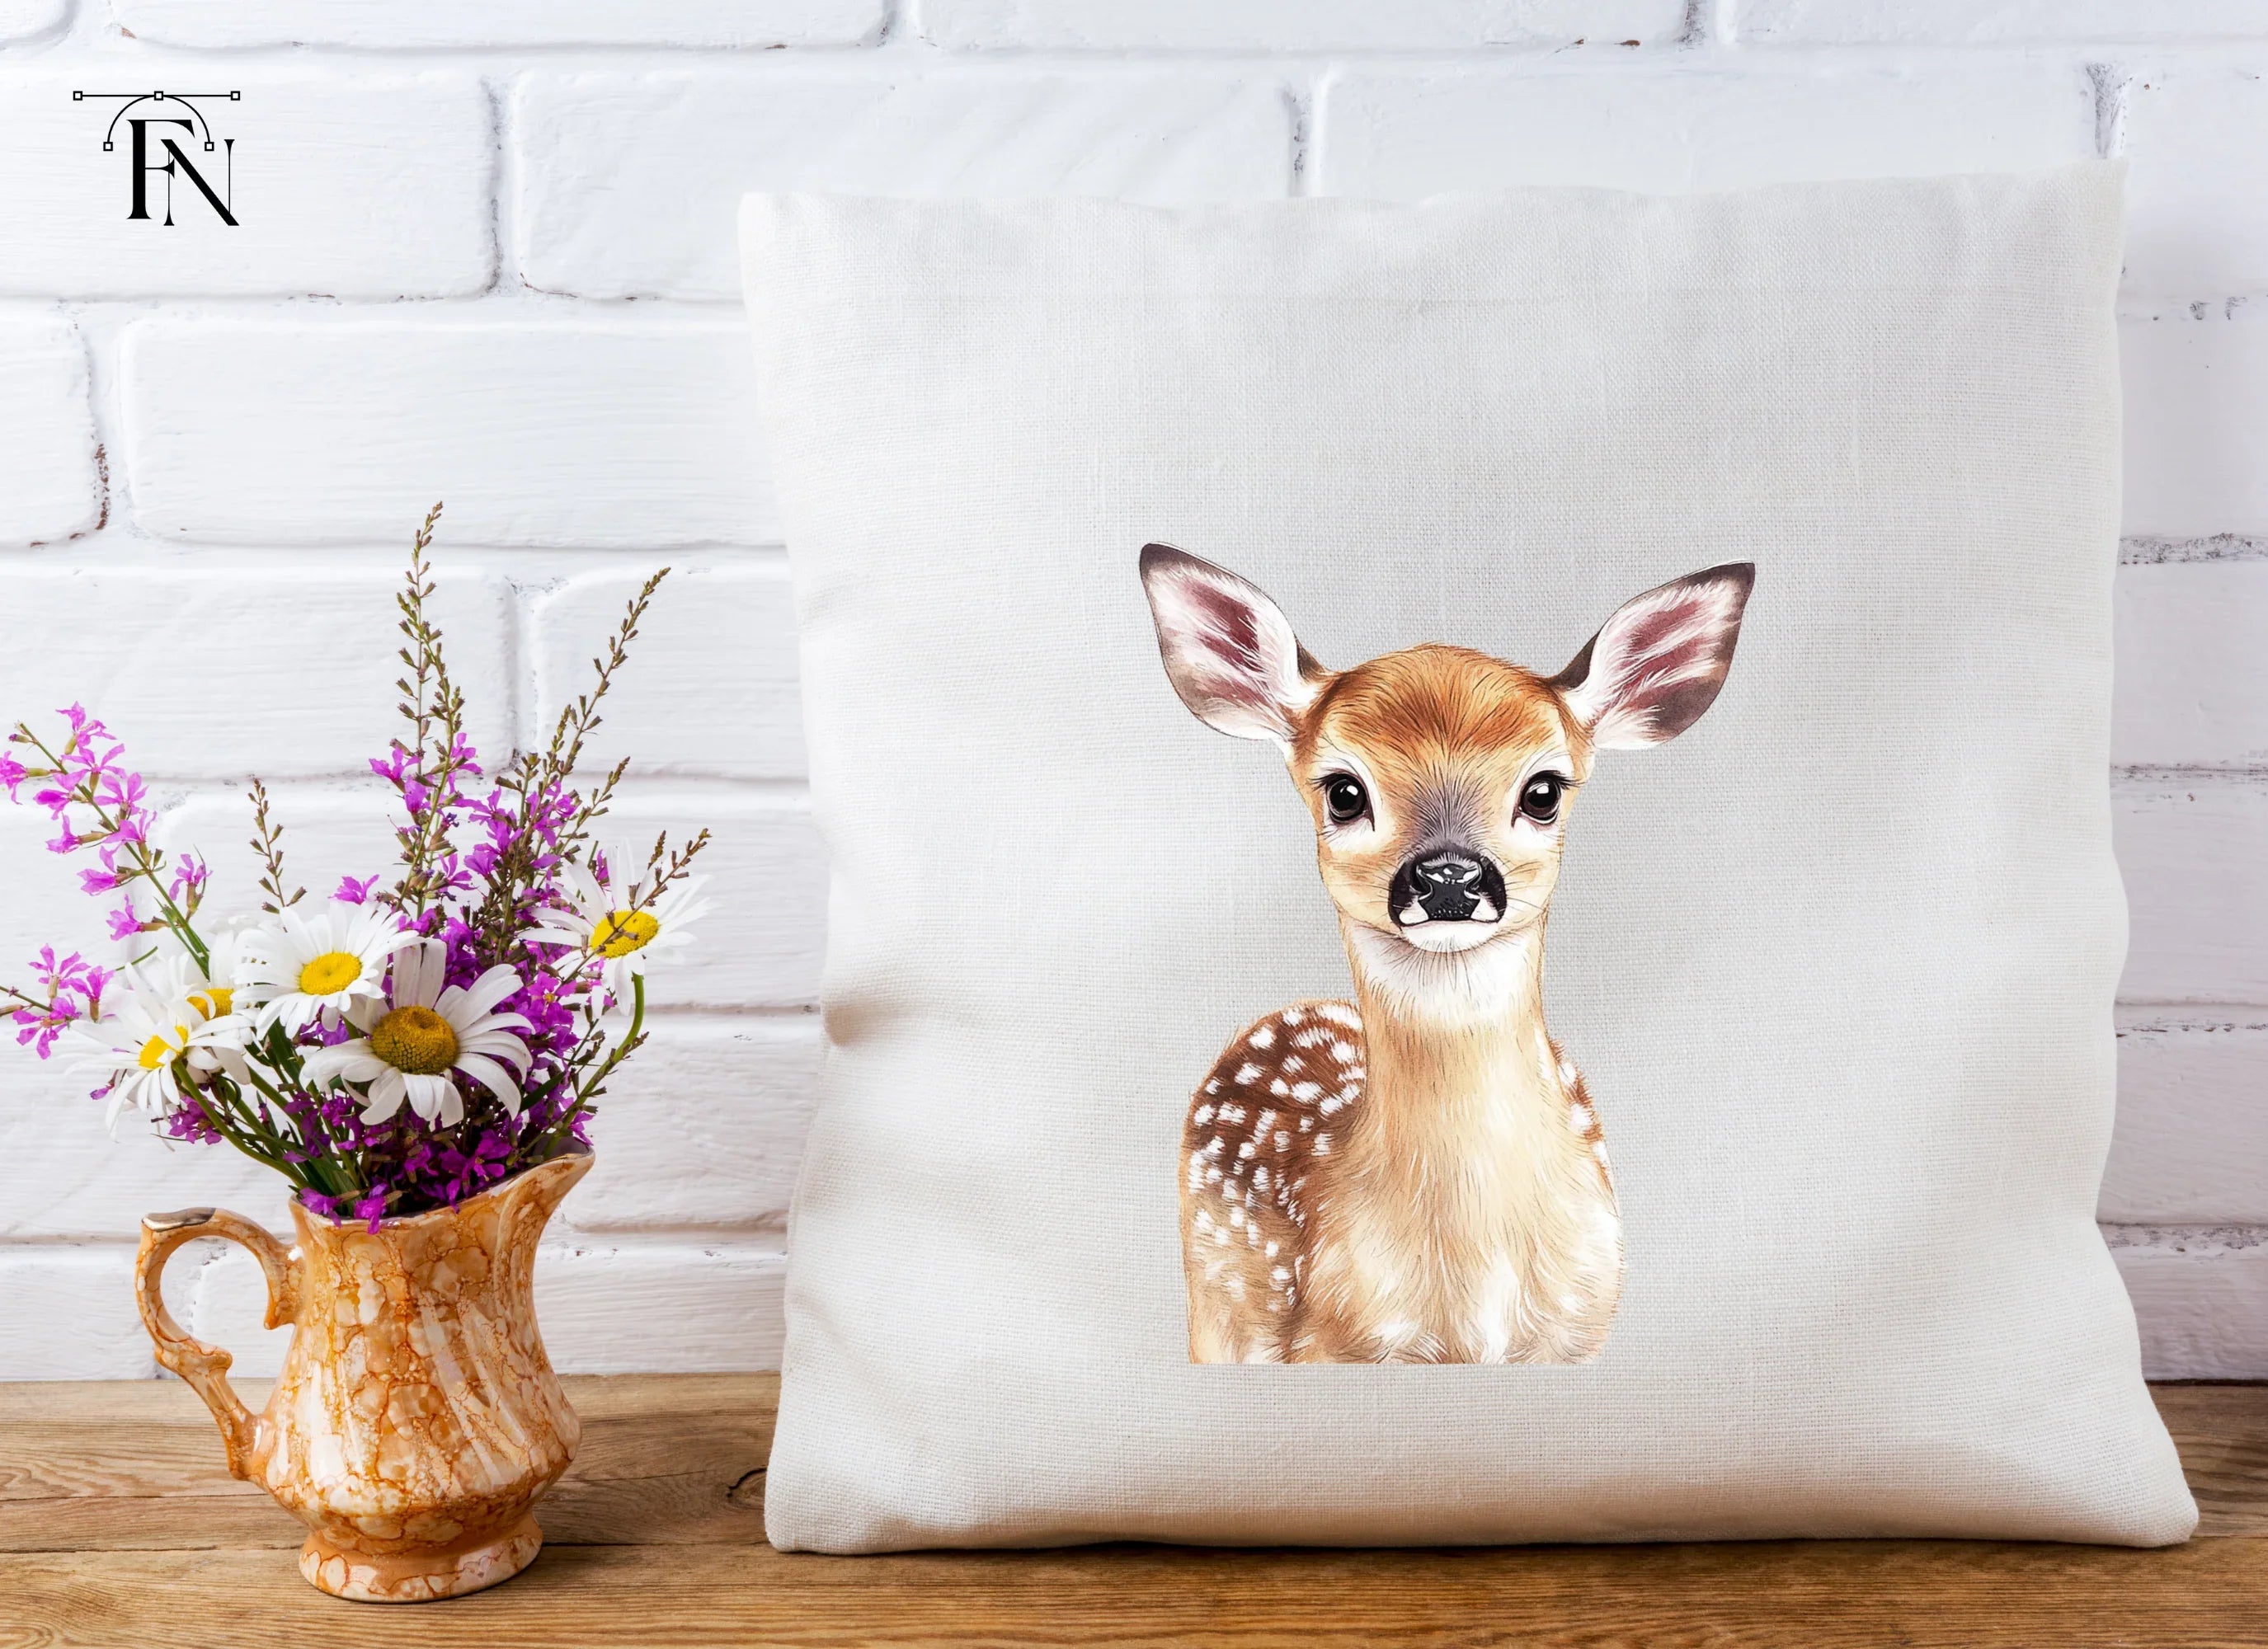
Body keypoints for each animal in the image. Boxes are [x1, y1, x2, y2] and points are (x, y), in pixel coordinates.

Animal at [1139, 545, 1753, 1365]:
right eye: (1343, 791)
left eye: (1544, 790)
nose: (1450, 877)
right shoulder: (1331, 1350)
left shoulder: (1578, 1334)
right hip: (1214, 1313)